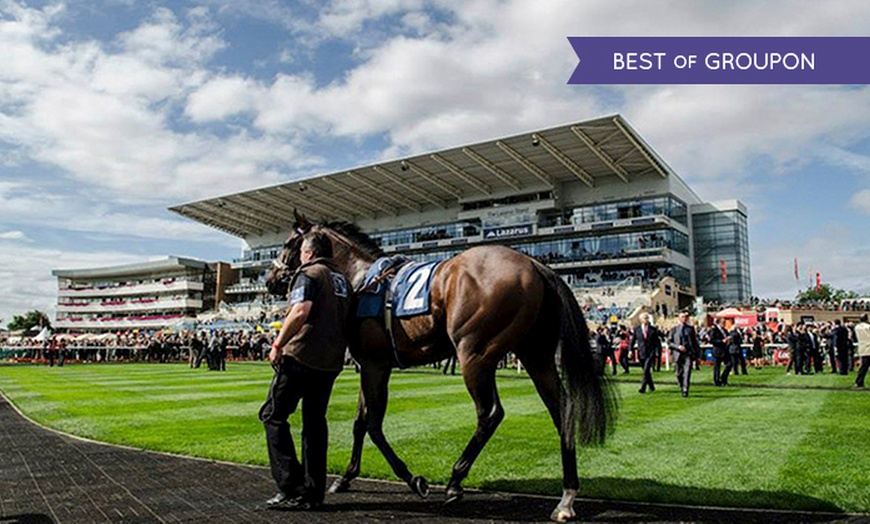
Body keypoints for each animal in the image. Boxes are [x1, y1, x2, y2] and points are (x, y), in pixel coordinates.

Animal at [270, 211, 616, 520]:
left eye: (285, 244)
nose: (271, 280)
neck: (361, 280)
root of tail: (536, 264)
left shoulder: (373, 365)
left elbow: (373, 425)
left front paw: (413, 479)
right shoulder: (373, 365)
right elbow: (360, 422)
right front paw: (345, 477)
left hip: (474, 355)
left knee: (490, 413)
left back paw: (455, 480)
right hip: (537, 356)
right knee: (561, 411)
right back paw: (566, 498)